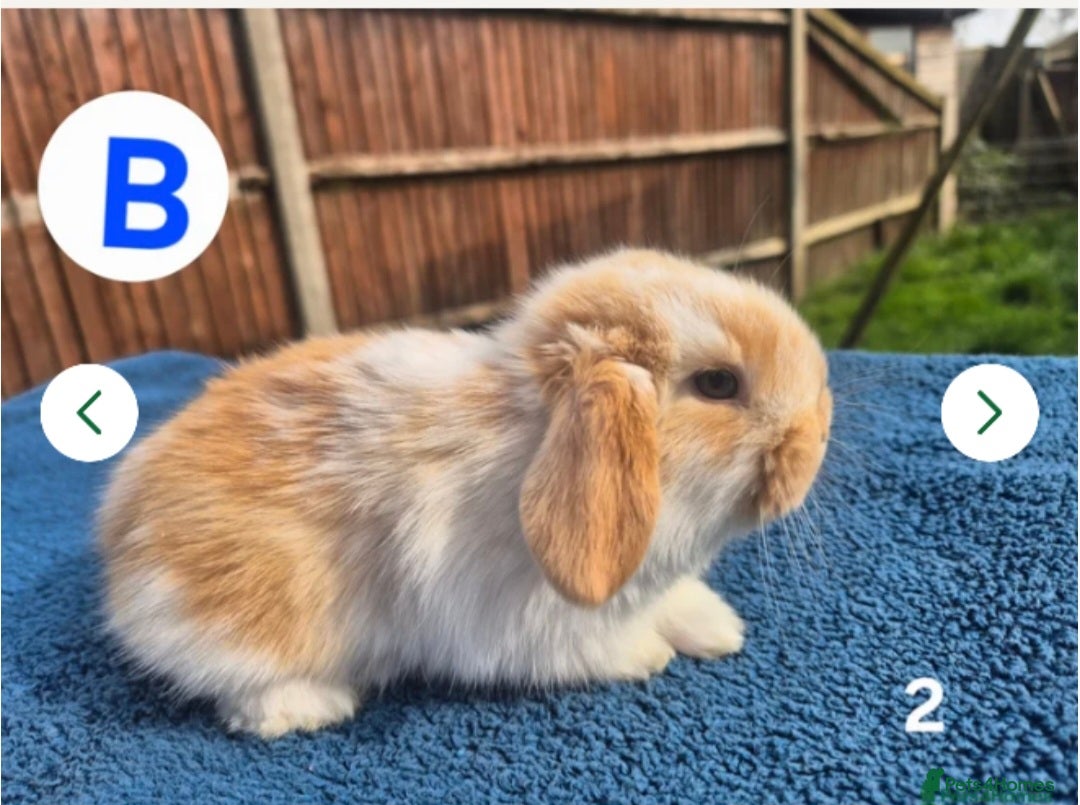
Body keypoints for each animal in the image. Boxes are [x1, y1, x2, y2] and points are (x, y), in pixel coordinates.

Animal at [97, 247, 832, 738]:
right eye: (718, 384)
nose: (818, 429)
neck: (532, 436)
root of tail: (120, 526)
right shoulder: (525, 630)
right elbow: (600, 648)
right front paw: (649, 653)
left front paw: (719, 628)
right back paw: (310, 706)